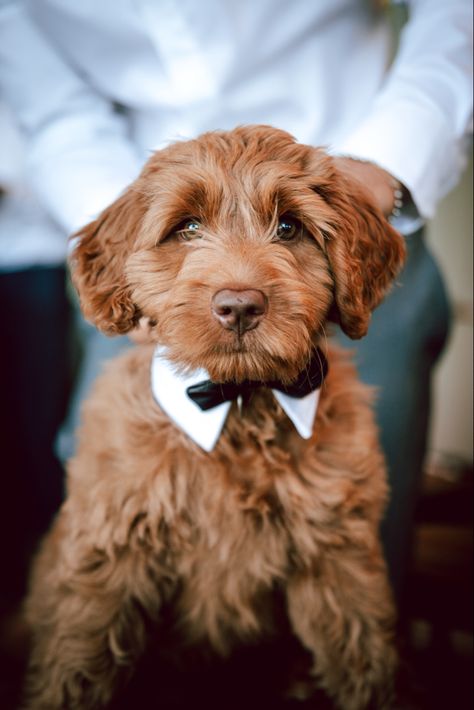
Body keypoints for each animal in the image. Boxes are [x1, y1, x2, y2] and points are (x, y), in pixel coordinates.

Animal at [24, 125, 406, 708]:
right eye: (187, 228)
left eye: (289, 227)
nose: (240, 306)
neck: (238, 403)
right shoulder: (108, 556)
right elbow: (77, 660)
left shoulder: (339, 557)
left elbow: (362, 657)